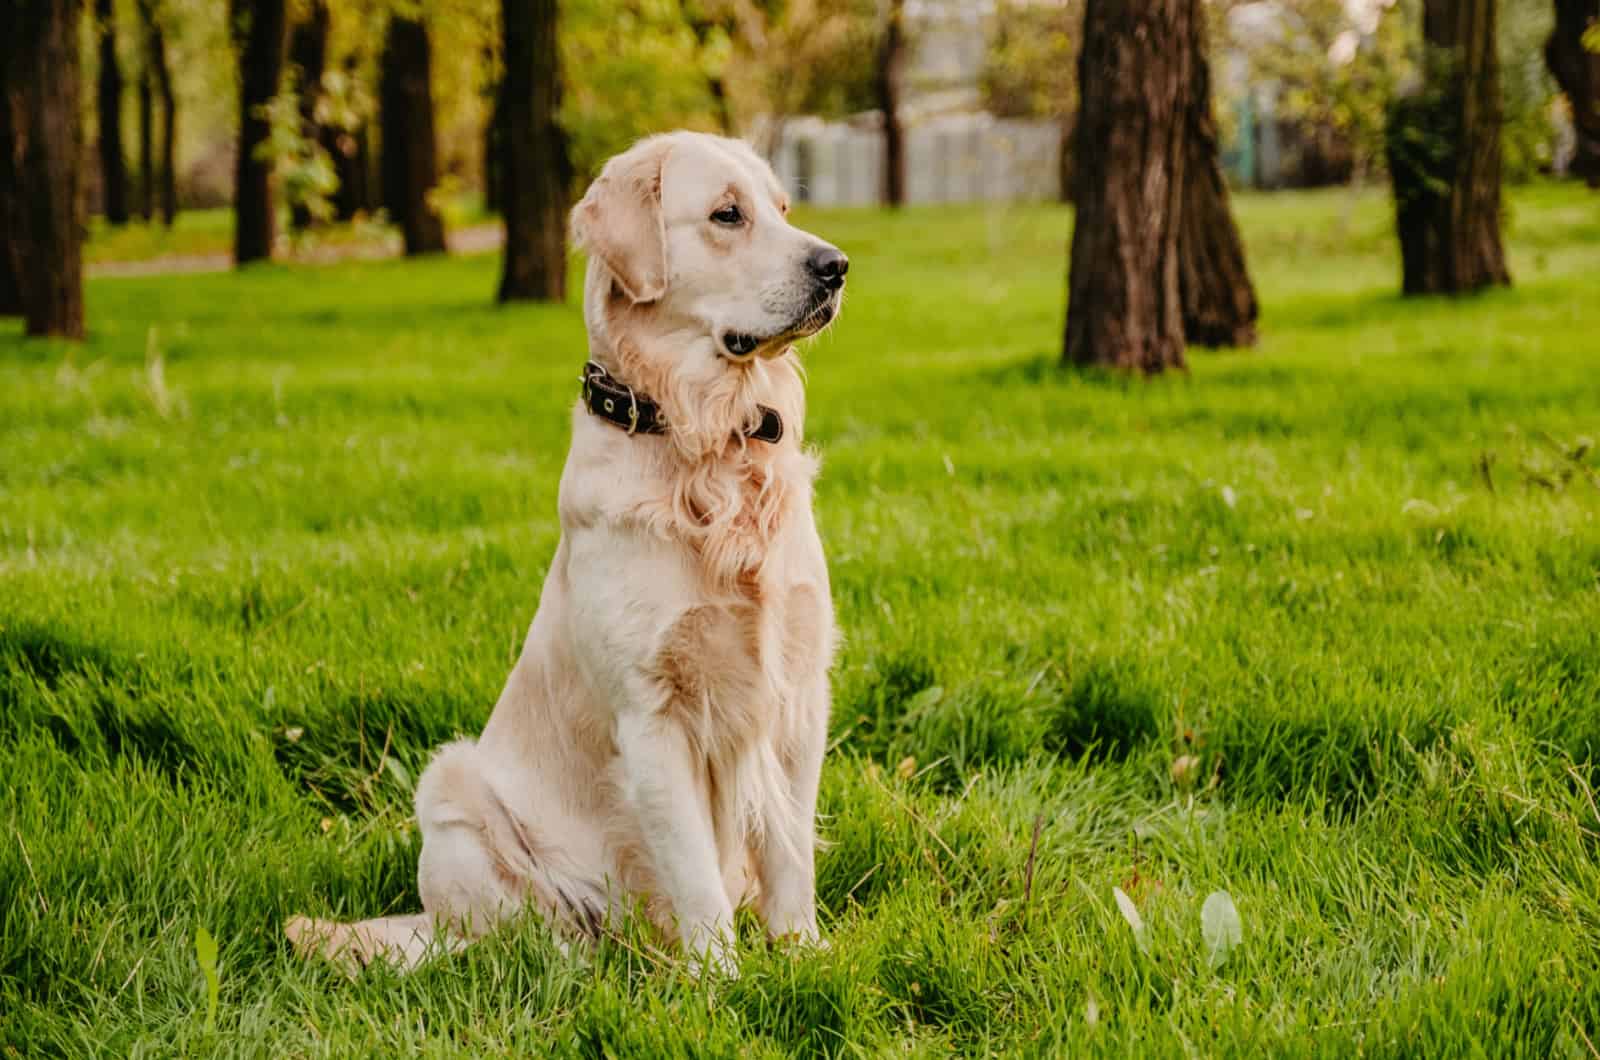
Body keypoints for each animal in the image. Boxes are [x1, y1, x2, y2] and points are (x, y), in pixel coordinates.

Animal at [284, 132, 851, 979]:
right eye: (728, 214)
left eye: (782, 208)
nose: (836, 266)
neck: (705, 443)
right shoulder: (652, 714)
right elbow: (696, 876)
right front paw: (722, 982)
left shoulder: (798, 692)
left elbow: (789, 852)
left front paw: (804, 956)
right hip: (451, 796)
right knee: (507, 939)